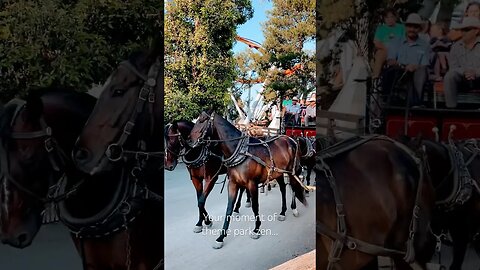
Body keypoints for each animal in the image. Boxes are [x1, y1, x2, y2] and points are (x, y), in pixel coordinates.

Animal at [188, 111, 308, 249]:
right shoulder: (233, 183)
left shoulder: (252, 184)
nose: (189, 141)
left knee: (294, 186)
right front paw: (221, 237)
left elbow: (255, 206)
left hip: (293, 171)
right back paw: (283, 212)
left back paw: (294, 208)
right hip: (278, 173)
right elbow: (229, 208)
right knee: (283, 188)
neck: (239, 151)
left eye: (202, 121)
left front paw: (256, 229)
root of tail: (290, 139)